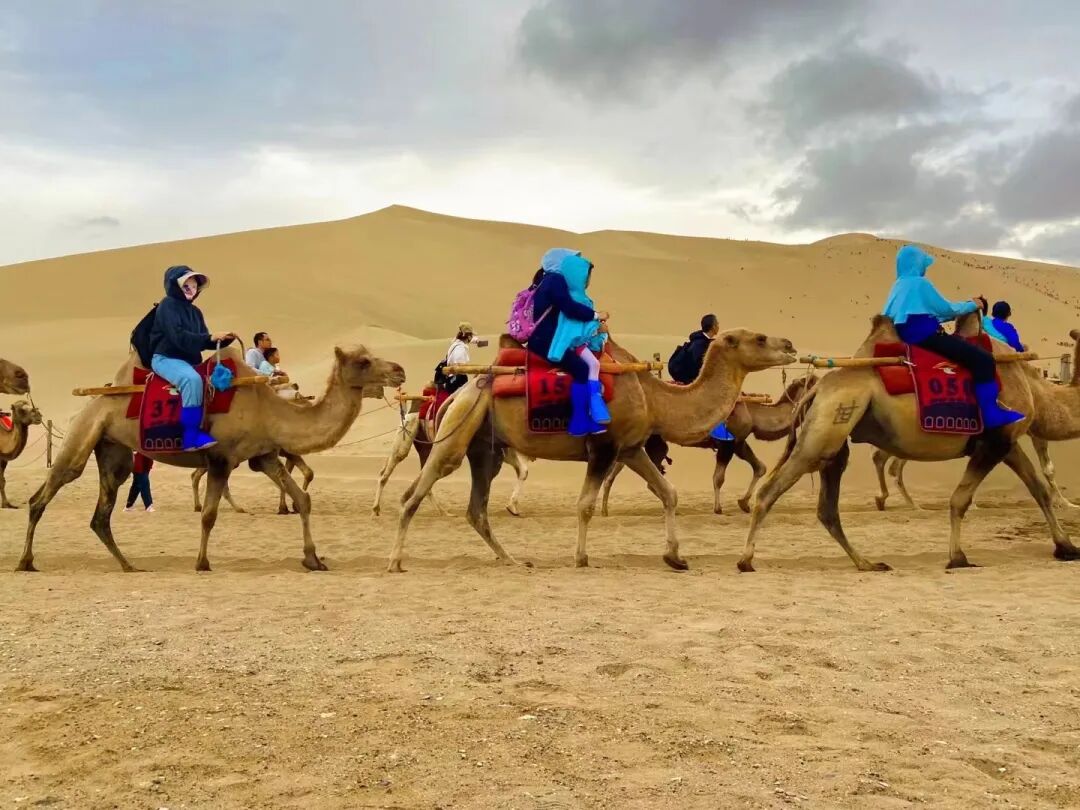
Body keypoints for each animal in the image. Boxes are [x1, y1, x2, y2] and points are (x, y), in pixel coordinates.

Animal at [16, 345, 405, 573]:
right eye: (363, 361)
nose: (400, 370)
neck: (271, 410)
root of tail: (91, 400)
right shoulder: (221, 459)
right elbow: (208, 515)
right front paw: (202, 562)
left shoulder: (265, 456)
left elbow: (302, 499)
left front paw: (313, 559)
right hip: (82, 435)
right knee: (42, 496)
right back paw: (25, 562)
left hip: (114, 451)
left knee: (101, 514)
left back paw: (128, 565)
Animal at [372, 405, 533, 518]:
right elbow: (522, 471)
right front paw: (511, 507)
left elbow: (522, 471)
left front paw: (512, 508)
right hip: (408, 433)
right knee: (388, 470)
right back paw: (376, 509)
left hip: (426, 445)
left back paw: (443, 512)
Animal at [600, 375, 818, 516]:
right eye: (814, 383)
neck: (754, 413)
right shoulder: (727, 443)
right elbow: (718, 478)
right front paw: (718, 508)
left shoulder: (739, 442)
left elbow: (760, 467)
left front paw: (744, 503)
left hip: (650, 441)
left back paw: (606, 509)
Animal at [738, 313, 1079, 572]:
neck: (1036, 391)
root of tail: (817, 388)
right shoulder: (995, 443)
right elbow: (960, 499)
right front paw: (958, 558)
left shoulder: (1008, 443)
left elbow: (1039, 490)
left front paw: (1066, 547)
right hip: (828, 425)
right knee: (771, 492)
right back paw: (746, 559)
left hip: (834, 440)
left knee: (827, 509)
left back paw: (867, 563)